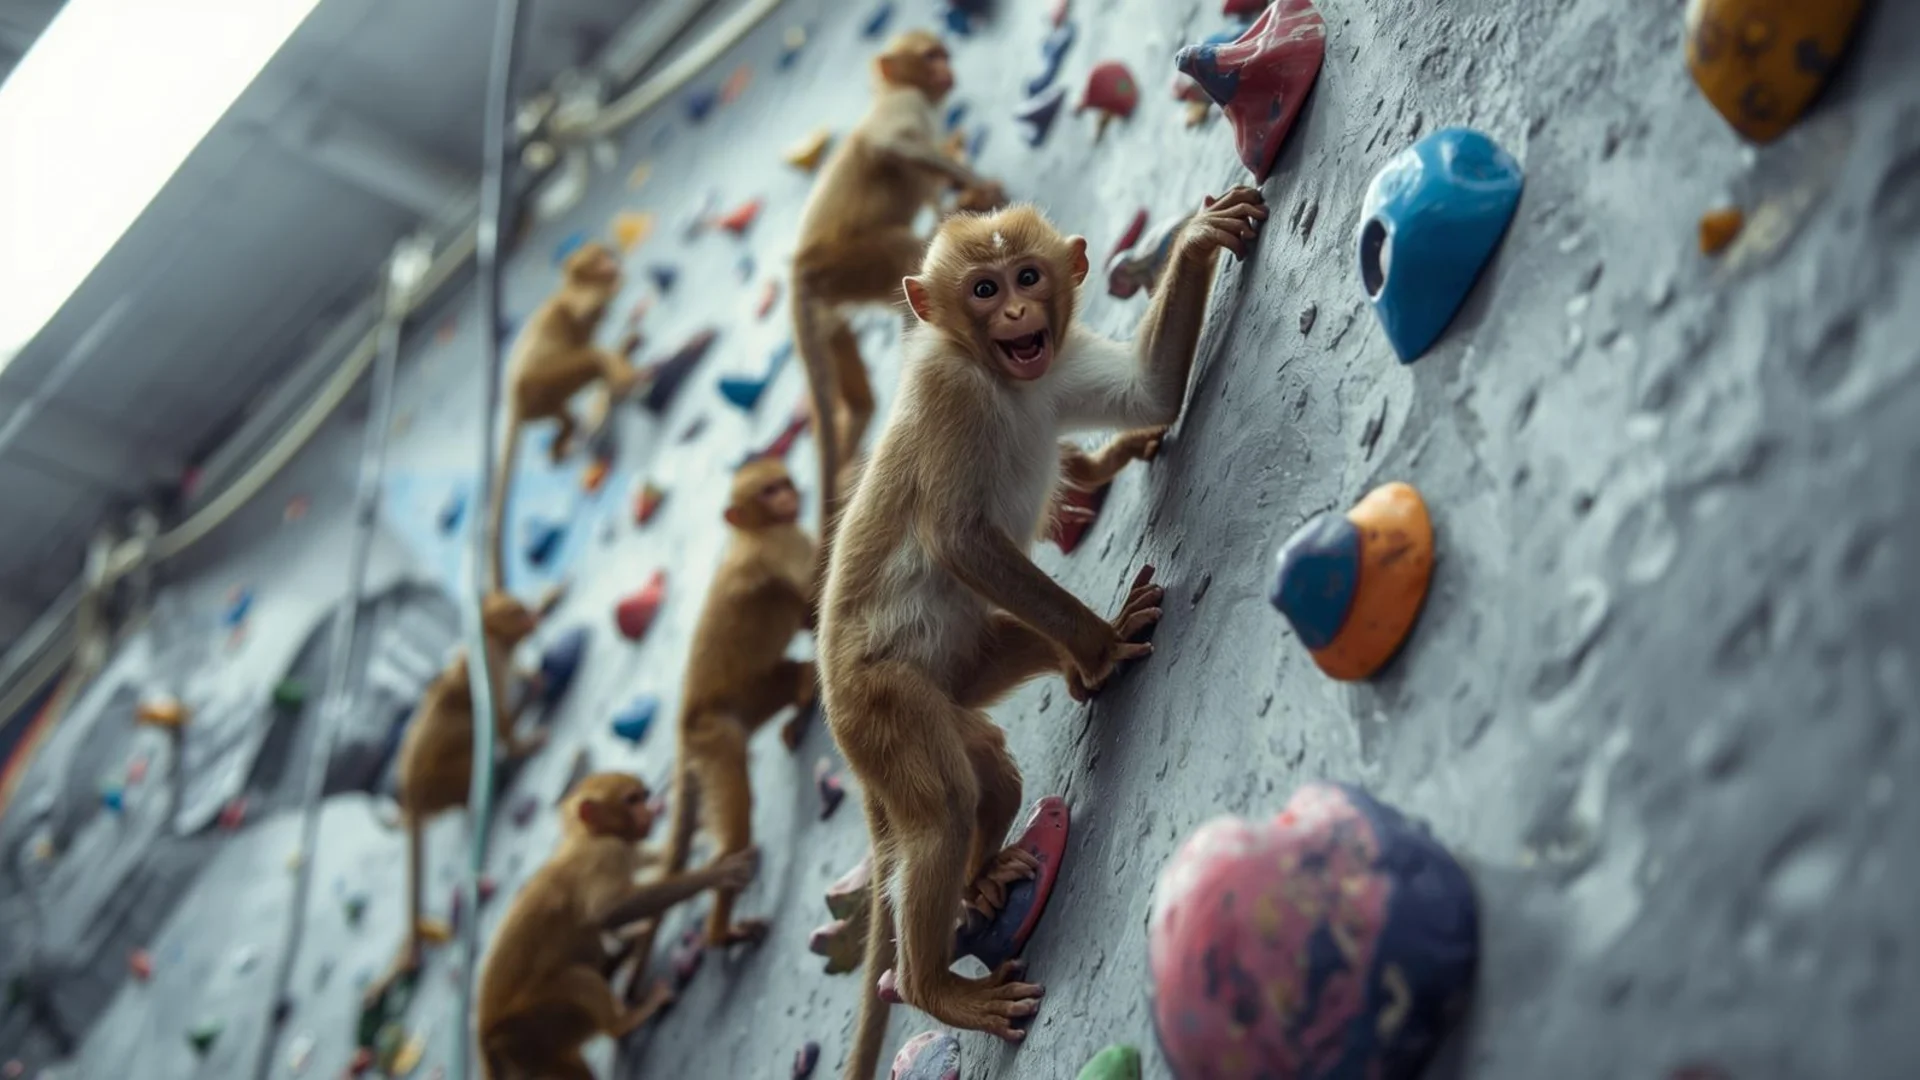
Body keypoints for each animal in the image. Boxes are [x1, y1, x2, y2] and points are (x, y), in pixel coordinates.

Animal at [477, 771, 759, 1080]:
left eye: (643, 798)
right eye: (632, 800)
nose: (649, 811)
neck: (588, 835)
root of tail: (487, 1037)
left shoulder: (624, 847)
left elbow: (661, 856)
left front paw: (697, 828)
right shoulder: (606, 853)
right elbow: (609, 912)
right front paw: (716, 874)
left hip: (533, 1048)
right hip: (533, 1026)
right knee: (577, 977)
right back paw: (623, 1023)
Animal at [487, 242, 642, 591]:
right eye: (597, 257)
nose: (609, 261)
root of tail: (513, 397)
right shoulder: (579, 296)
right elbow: (587, 312)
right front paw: (617, 283)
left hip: (541, 396)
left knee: (566, 409)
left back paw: (567, 437)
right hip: (541, 378)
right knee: (591, 357)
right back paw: (618, 378)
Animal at [654, 456, 818, 949]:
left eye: (781, 483)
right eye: (767, 491)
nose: (788, 496)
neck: (752, 534)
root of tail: (685, 725)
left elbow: (809, 610)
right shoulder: (782, 544)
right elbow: (814, 595)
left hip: (744, 705)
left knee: (790, 672)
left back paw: (803, 696)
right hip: (717, 738)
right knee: (737, 829)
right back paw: (719, 932)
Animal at [789, 29, 1009, 558]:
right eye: (931, 57)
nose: (947, 69)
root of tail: (800, 268)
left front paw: (960, 196)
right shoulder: (905, 107)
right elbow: (895, 147)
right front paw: (976, 186)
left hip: (834, 301)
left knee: (858, 399)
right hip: (847, 265)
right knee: (906, 250)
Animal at [819, 189, 1267, 1076]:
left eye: (1027, 276)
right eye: (984, 290)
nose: (1019, 313)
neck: (1004, 381)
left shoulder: (1050, 370)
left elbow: (1145, 394)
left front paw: (1198, 238)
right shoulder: (951, 389)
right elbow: (959, 541)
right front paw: (1105, 641)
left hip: (956, 677)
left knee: (991, 768)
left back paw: (987, 862)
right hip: (881, 707)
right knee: (945, 806)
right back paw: (933, 986)